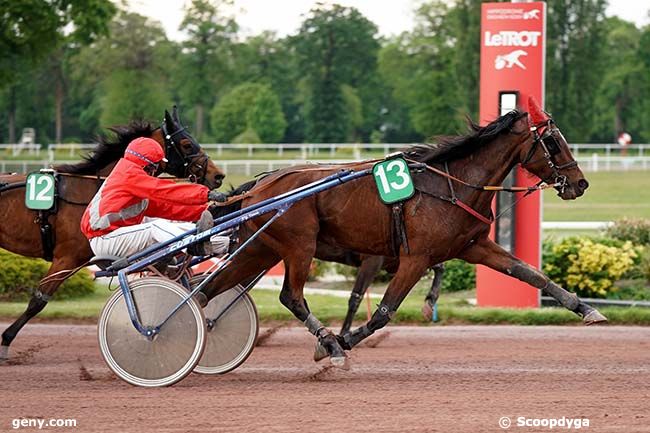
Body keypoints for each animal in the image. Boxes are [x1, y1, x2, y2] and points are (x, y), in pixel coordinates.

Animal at [0, 106, 225, 360]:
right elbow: (38, 301)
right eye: (187, 144)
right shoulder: (67, 258)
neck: (90, 189)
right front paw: (6, 340)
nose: (218, 176)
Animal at [206, 102, 604, 368]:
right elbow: (383, 312)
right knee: (290, 296)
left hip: (260, 249)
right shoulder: (414, 258)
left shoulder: (474, 246)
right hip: (299, 246)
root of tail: (259, 186)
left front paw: (585, 308)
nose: (581, 183)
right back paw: (329, 344)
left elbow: (530, 274)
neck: (451, 184)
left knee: (214, 288)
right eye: (553, 142)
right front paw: (341, 341)